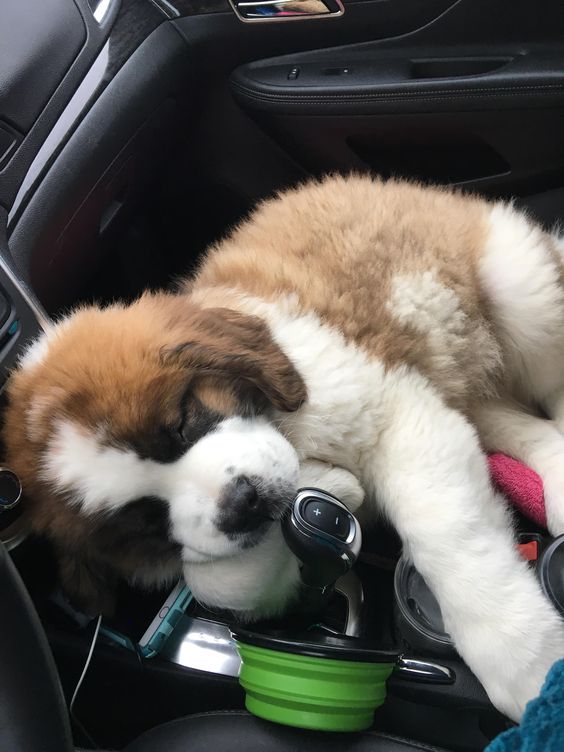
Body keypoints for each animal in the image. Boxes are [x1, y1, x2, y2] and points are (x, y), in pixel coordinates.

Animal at [3, 173, 564, 720]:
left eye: (181, 425)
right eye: (145, 520)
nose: (243, 504)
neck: (286, 425)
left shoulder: (394, 412)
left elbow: (445, 531)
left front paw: (524, 660)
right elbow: (213, 578)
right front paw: (333, 490)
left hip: (519, 290)